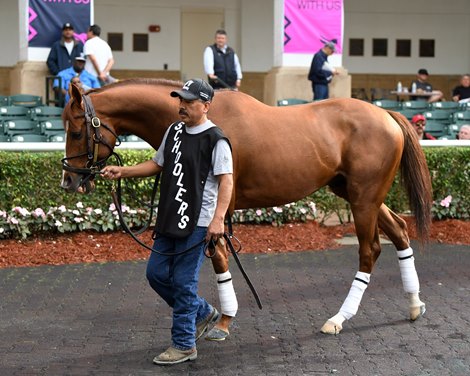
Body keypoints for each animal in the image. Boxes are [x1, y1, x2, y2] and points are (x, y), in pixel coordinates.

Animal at [60, 78, 432, 334]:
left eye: (77, 131)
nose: (69, 180)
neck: (205, 120)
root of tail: (386, 114)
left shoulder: (219, 206)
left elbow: (219, 257)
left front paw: (223, 318)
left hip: (364, 198)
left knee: (369, 250)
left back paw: (339, 318)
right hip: (358, 194)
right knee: (399, 231)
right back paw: (414, 304)